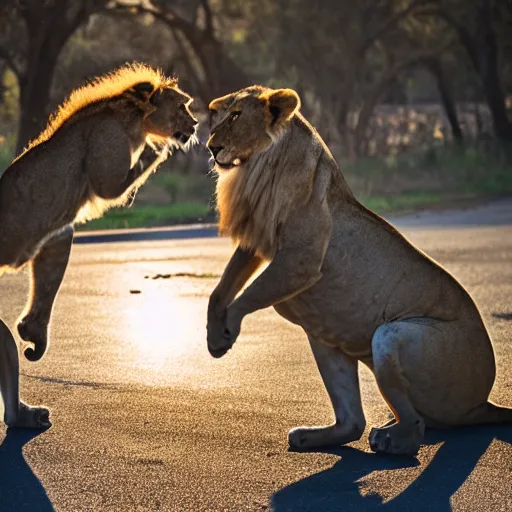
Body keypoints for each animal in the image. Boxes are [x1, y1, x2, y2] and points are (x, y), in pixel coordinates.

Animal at [0, 62, 197, 428]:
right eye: (182, 107)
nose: (194, 126)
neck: (133, 115)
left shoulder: (57, 232)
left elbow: (50, 270)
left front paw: (33, 331)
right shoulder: (108, 152)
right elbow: (119, 181)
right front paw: (157, 149)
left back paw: (24, 415)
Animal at [206, 85, 512, 456]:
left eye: (236, 115)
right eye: (221, 114)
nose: (211, 146)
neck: (257, 169)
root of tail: (481, 402)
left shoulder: (300, 260)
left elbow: (247, 296)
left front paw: (227, 331)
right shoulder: (256, 240)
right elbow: (220, 290)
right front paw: (213, 337)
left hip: (391, 335)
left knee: (415, 425)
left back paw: (391, 439)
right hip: (324, 337)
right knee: (353, 421)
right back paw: (313, 436)